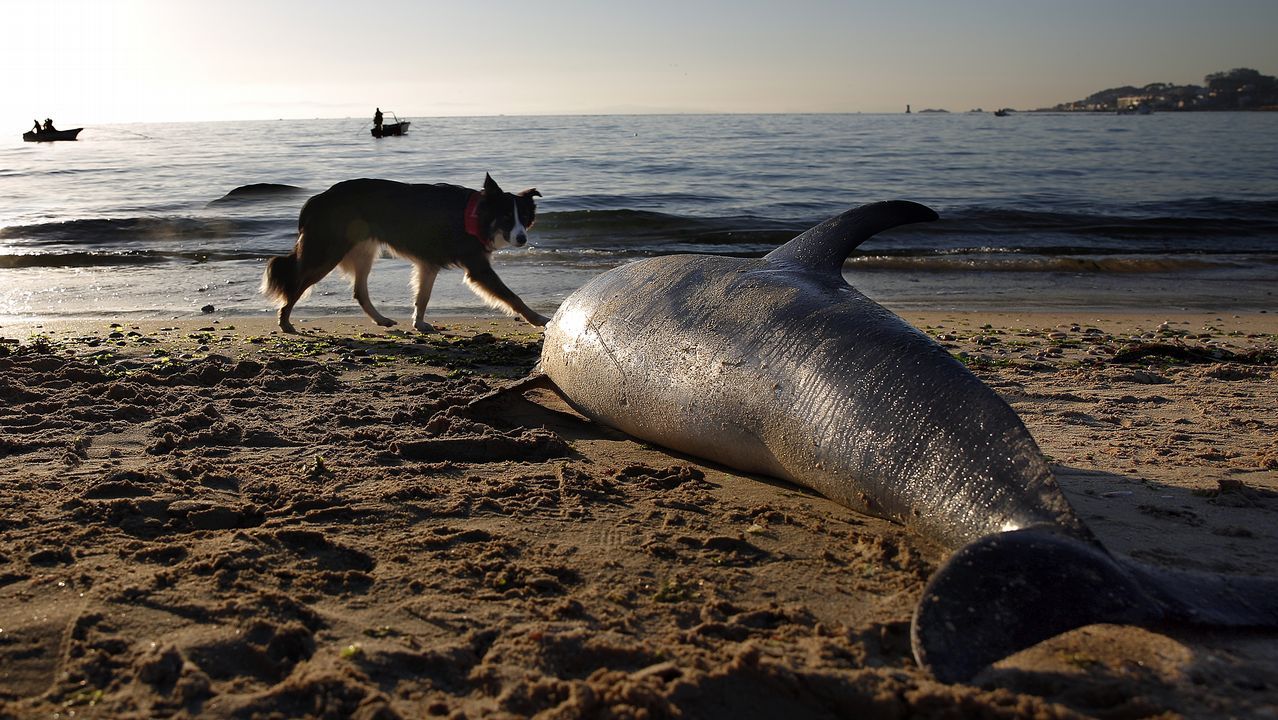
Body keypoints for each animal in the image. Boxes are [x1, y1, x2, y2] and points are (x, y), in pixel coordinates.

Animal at [261, 172, 546, 335]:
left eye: (525, 217)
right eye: (507, 217)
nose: (522, 239)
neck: (478, 215)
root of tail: (317, 199)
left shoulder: (429, 264)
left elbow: (423, 297)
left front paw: (418, 323)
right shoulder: (477, 265)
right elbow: (513, 296)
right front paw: (539, 319)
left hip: (363, 250)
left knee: (359, 291)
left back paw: (381, 319)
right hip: (327, 252)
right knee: (296, 283)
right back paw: (285, 322)